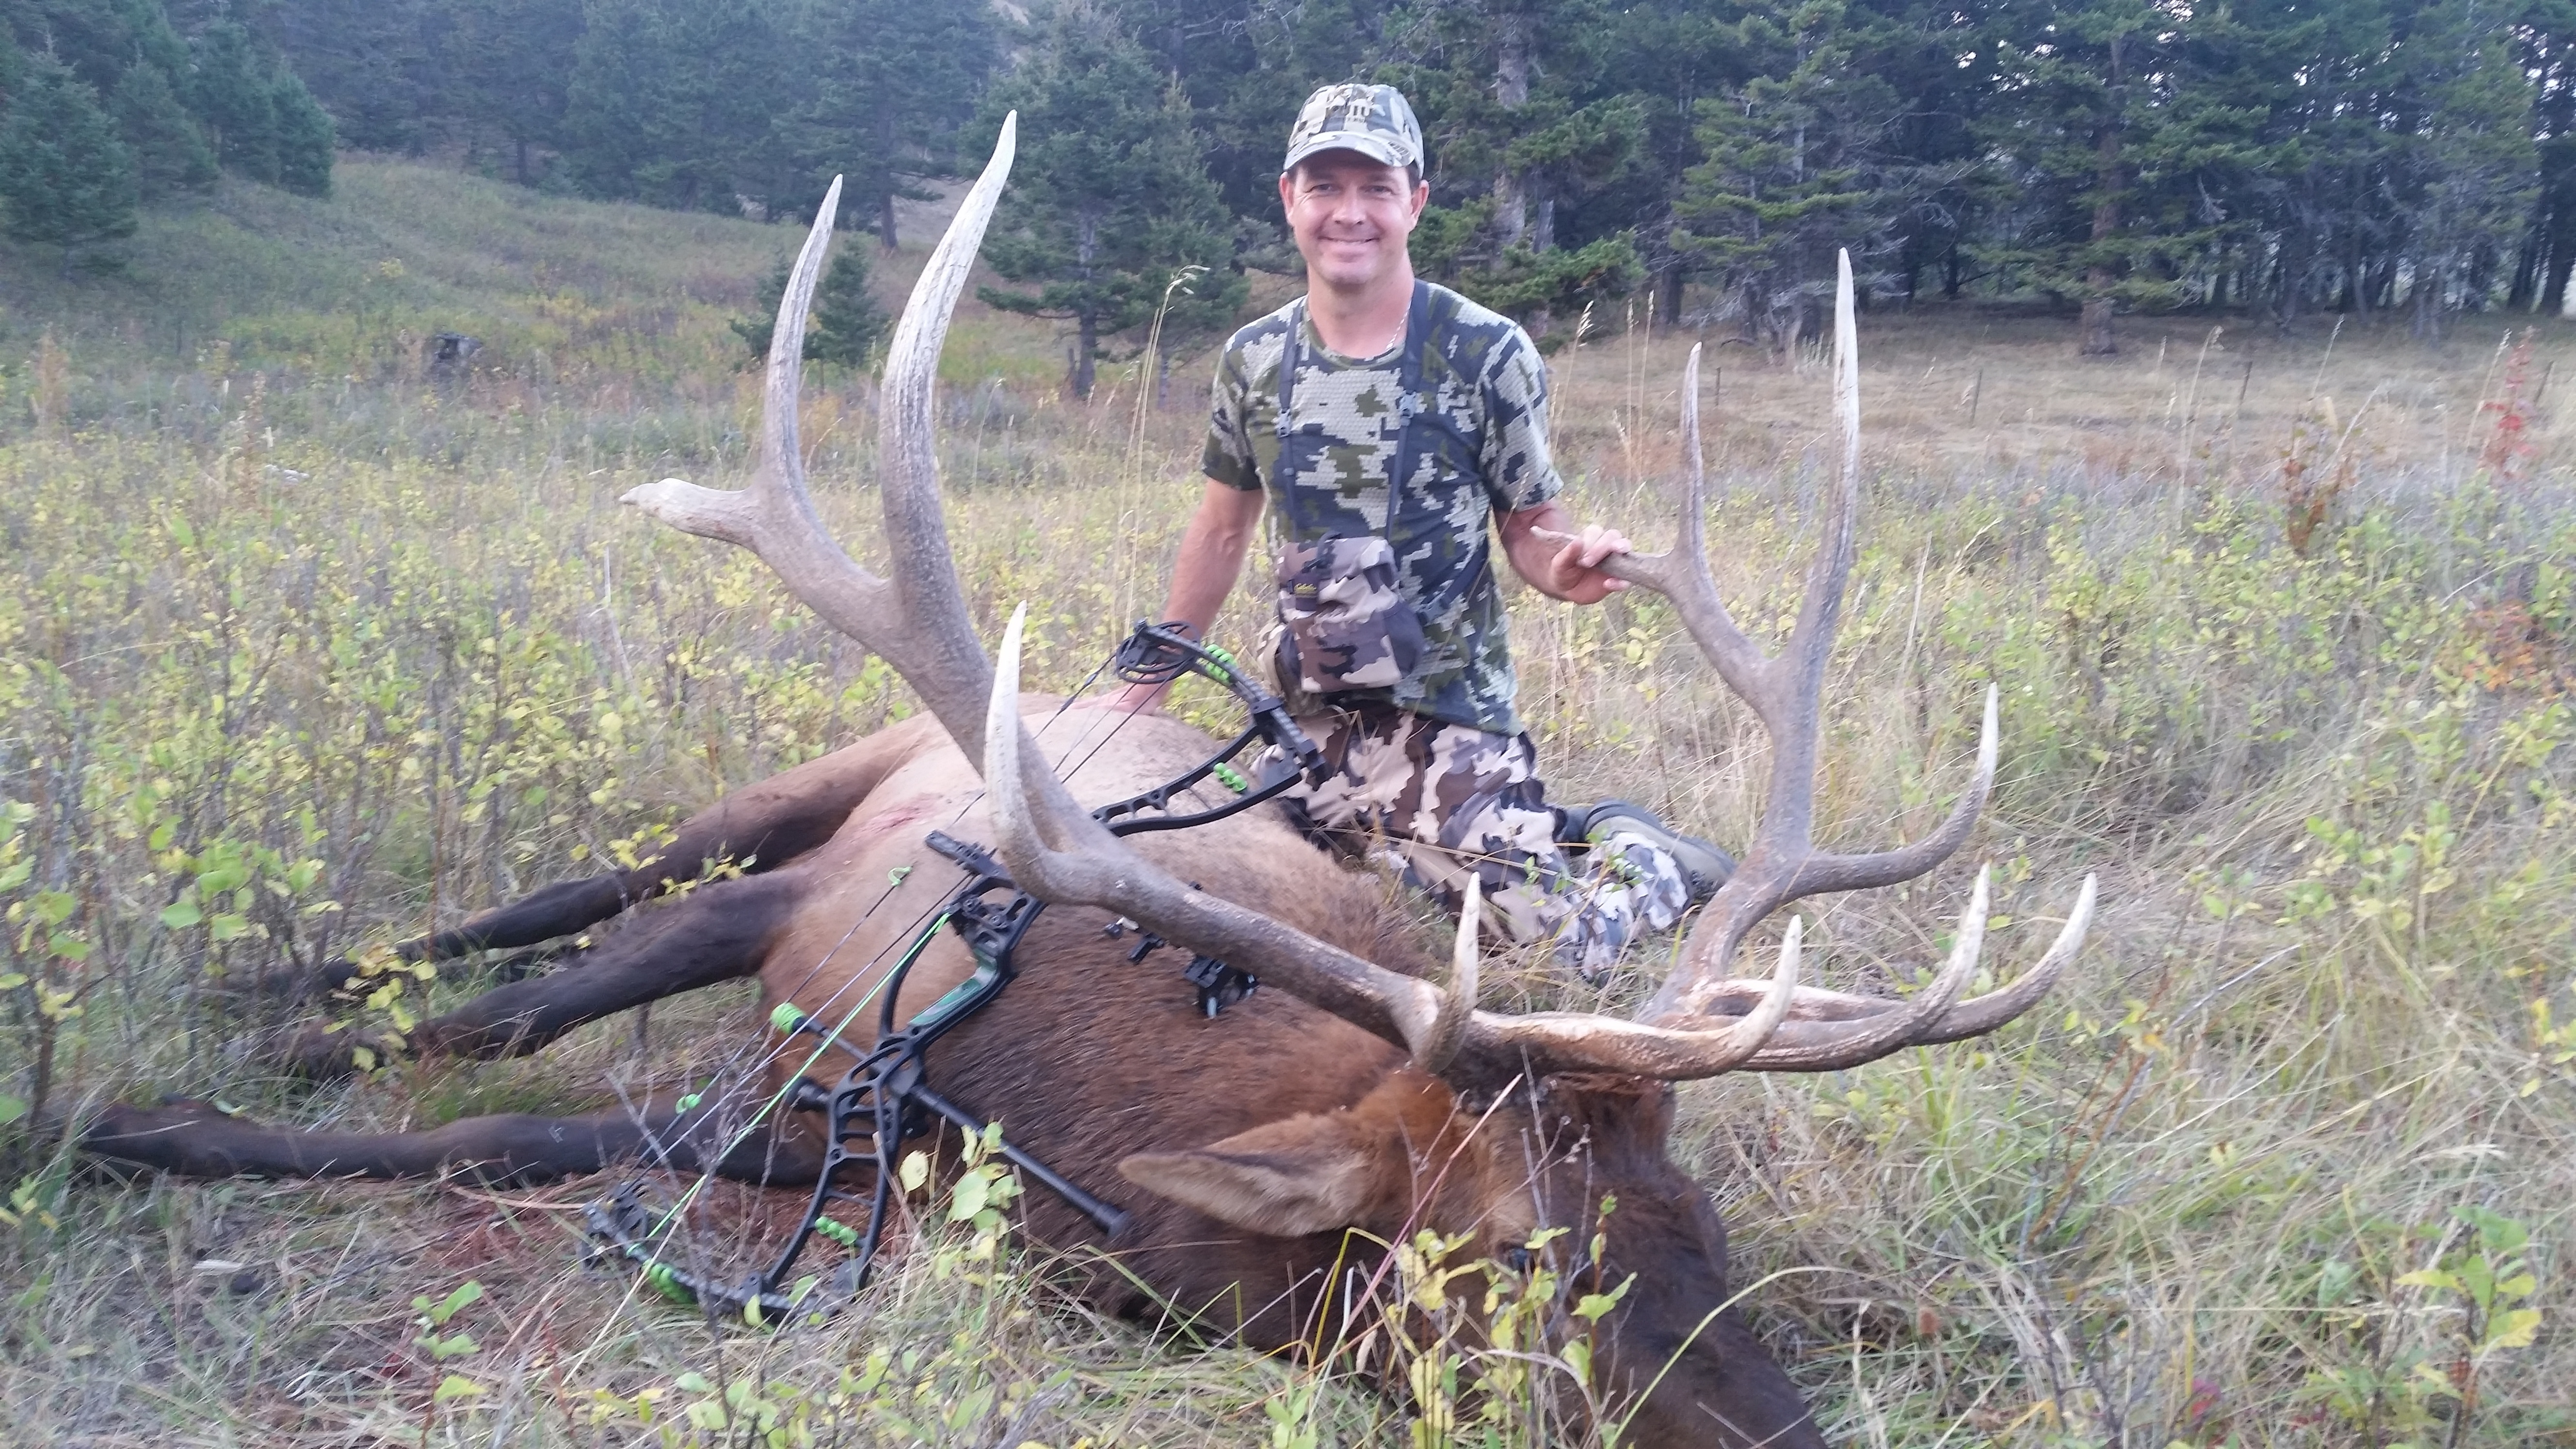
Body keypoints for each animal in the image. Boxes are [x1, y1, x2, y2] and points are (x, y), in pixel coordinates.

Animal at [79, 118, 2094, 1447]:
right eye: (1525, 1259)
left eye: (1702, 1225)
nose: (1792, 1433)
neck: (1081, 1100)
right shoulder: (816, 956)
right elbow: (484, 1061)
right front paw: (130, 1114)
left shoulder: (850, 1129)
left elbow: (551, 1117)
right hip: (800, 797)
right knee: (574, 891)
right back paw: (272, 978)